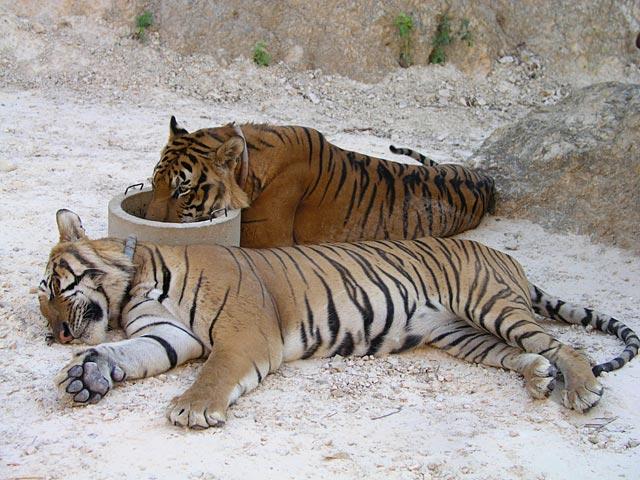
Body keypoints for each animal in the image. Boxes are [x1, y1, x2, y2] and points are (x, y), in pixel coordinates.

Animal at [40, 209, 638, 429]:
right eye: (43, 303)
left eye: (54, 286)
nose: (58, 334)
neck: (134, 283)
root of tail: (507, 258)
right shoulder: (168, 334)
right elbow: (125, 352)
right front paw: (87, 373)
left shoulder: (245, 334)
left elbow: (216, 371)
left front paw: (193, 408)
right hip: (462, 333)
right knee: (526, 351)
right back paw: (538, 377)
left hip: (488, 303)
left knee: (565, 345)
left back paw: (580, 390)